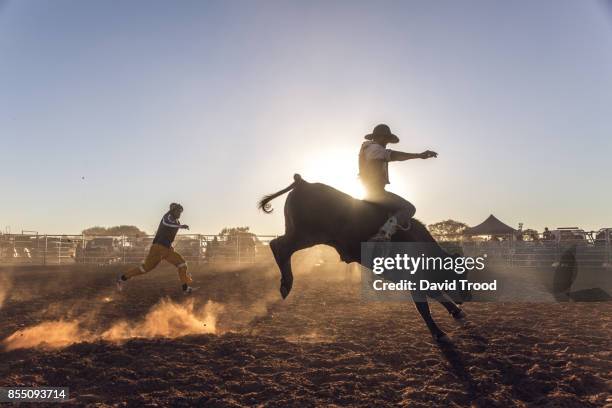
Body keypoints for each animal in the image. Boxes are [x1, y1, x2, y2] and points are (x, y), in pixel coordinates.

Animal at [258, 174, 474, 340]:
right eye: (460, 274)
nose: (468, 297)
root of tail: (303, 182)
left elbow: (436, 294)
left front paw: (457, 312)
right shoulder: (413, 278)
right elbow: (424, 306)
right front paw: (438, 332)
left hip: (303, 234)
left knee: (279, 246)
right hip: (306, 235)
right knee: (279, 246)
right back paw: (286, 284)